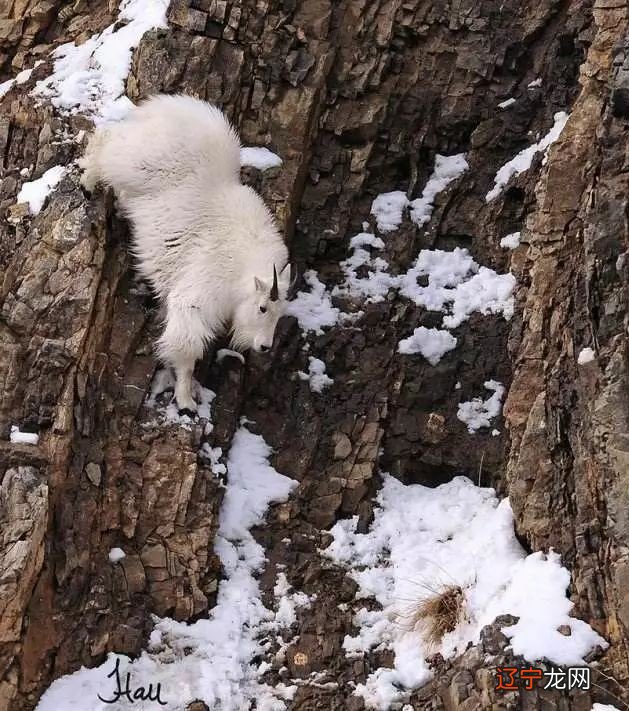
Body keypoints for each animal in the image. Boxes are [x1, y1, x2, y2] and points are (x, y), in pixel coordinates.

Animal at [79, 97, 294, 414]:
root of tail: (166, 107)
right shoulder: (196, 298)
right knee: (107, 141)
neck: (242, 269)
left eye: (280, 313)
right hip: (137, 162)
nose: (264, 346)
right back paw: (87, 181)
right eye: (263, 307)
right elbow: (187, 348)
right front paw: (185, 400)